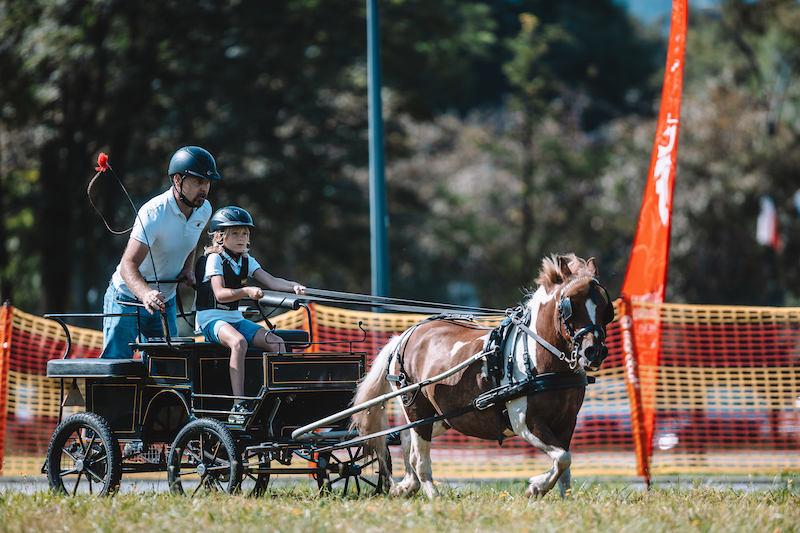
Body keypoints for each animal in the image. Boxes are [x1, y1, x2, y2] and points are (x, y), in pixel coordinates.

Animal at [350, 251, 612, 496]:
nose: (594, 352)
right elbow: (562, 458)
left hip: (441, 417)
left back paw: (407, 485)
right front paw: (537, 487)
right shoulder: (526, 423)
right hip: (416, 409)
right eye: (569, 306)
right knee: (418, 456)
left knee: (406, 440)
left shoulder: (568, 423)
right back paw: (433, 495)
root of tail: (404, 336)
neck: (536, 357)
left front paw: (559, 497)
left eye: (605, 308)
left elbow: (565, 466)